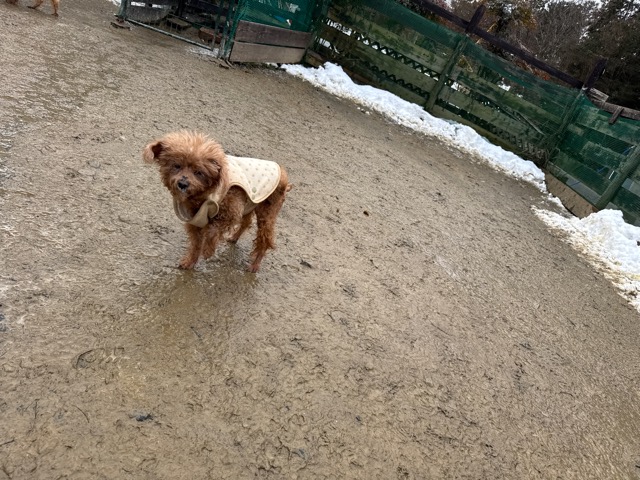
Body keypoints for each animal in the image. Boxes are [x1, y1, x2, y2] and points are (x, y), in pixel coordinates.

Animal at [143, 131, 291, 272]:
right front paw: (190, 261)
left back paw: (254, 265)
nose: (183, 184)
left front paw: (208, 251)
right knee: (246, 222)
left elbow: (212, 230)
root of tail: (283, 173)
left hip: (267, 213)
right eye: (177, 166)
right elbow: (196, 243)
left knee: (264, 240)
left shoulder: (231, 212)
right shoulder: (195, 219)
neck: (203, 194)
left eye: (199, 172)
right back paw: (234, 238)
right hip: (250, 205)